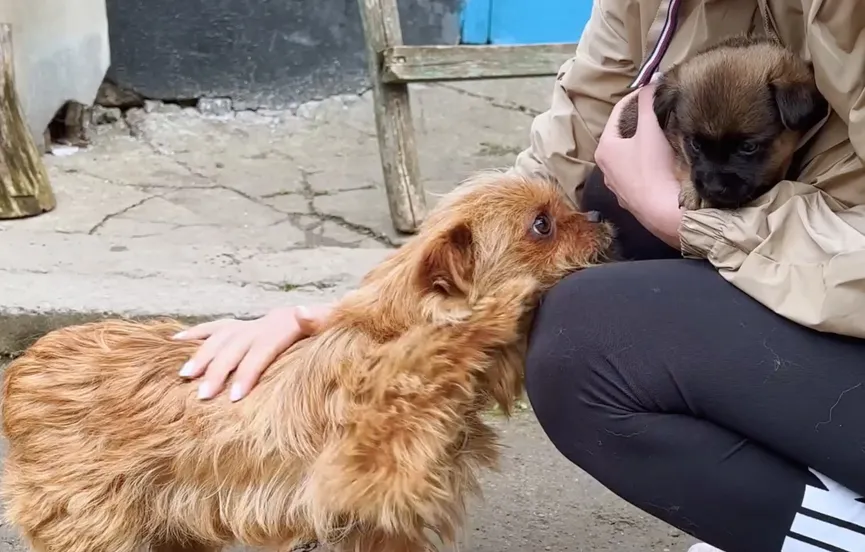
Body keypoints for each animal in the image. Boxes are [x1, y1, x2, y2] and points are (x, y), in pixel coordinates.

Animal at [0, 171, 616, 552]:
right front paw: (499, 308)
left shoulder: (379, 521)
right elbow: (430, 360)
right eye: (541, 225)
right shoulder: (365, 466)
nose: (597, 214)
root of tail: (22, 367)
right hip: (94, 525)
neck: (385, 331)